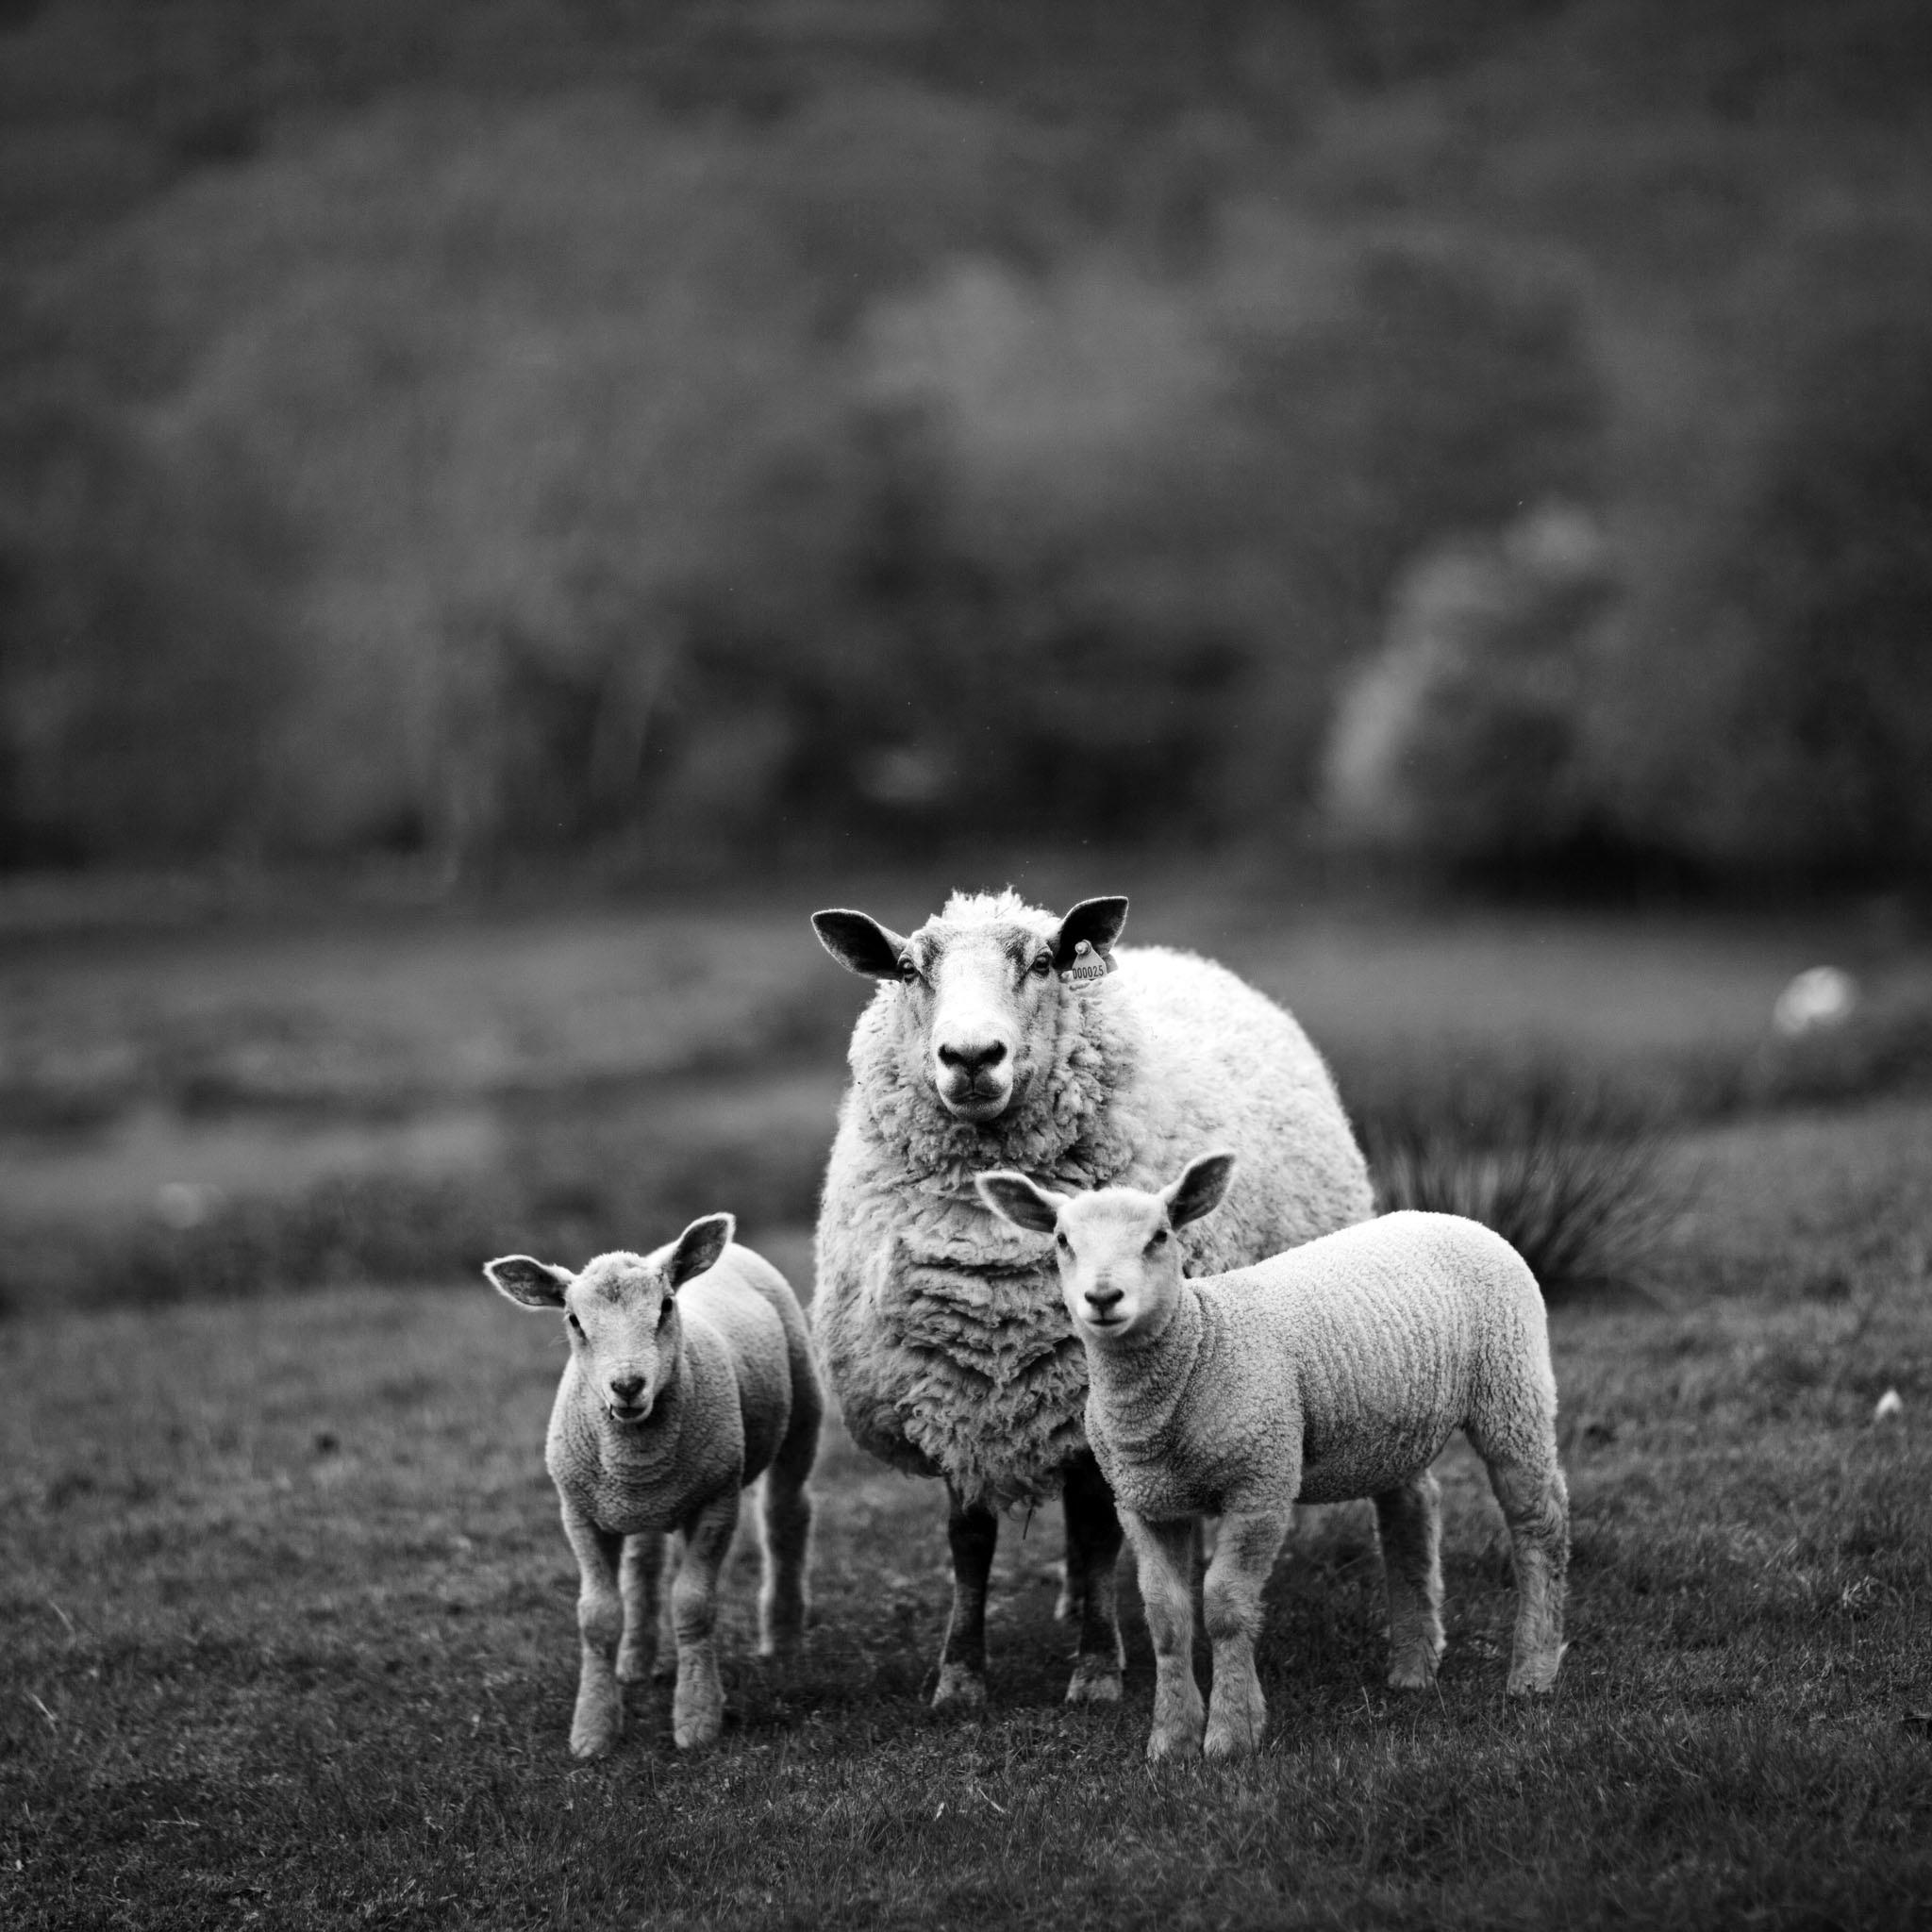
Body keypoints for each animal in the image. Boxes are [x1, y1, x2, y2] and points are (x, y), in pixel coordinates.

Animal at [484, 1214, 820, 1757]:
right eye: (573, 1321)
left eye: (665, 1306)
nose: (627, 1387)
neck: (635, 1448)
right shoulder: (580, 1513)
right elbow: (597, 1617)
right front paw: (593, 1730)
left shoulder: (717, 1502)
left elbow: (693, 1604)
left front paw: (697, 1718)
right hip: (640, 1504)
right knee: (644, 1562)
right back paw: (636, 1661)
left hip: (802, 1414)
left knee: (786, 1518)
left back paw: (783, 1638)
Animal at [811, 889, 1372, 1710]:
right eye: (909, 969)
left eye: (1044, 961)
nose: (971, 1057)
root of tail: (1174, 955)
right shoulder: (948, 1394)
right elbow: (969, 1541)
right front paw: (960, 1675)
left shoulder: (1091, 1392)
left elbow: (1096, 1531)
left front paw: (1099, 1667)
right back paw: (1077, 1599)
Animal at [977, 1152, 1570, 1761]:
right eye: (1062, 1240)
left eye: (1160, 1236)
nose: (1102, 1298)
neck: (1198, 1347)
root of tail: (1446, 1216)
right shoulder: (1145, 1503)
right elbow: (1166, 1617)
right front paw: (1171, 1738)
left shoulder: (1259, 1483)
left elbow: (1226, 1607)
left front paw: (1231, 1733)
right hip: (1396, 1427)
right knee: (1412, 1511)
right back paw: (1413, 1665)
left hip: (1512, 1387)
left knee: (1538, 1521)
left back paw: (1532, 1670)